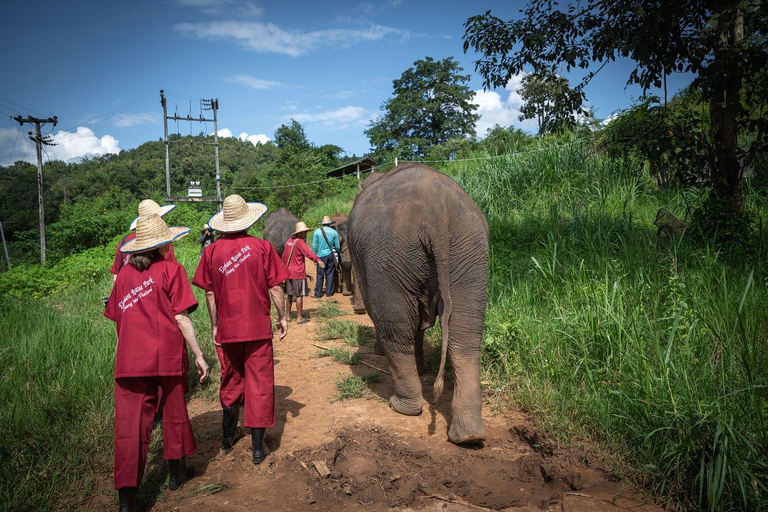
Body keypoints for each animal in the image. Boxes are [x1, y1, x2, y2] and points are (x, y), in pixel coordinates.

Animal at [346, 163, 488, 444]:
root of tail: (437, 214)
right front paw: (422, 369)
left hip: (388, 256)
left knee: (396, 327)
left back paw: (402, 407)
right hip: (470, 251)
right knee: (465, 332)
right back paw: (469, 436)